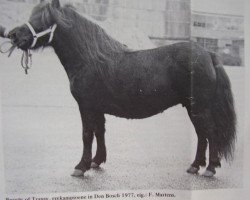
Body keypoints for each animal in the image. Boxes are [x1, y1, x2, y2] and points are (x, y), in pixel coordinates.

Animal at [8, 0, 236, 177]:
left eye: (43, 19)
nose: (13, 34)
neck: (91, 58)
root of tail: (208, 53)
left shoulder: (86, 106)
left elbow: (87, 134)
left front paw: (81, 166)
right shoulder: (96, 108)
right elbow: (99, 132)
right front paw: (96, 161)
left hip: (200, 107)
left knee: (210, 133)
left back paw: (210, 168)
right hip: (192, 107)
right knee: (201, 134)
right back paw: (195, 166)